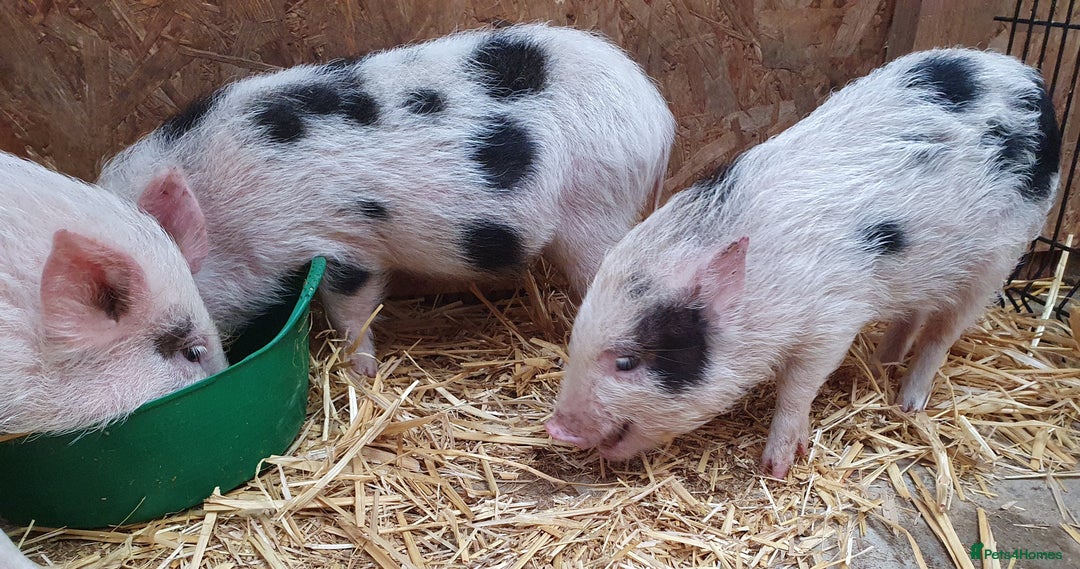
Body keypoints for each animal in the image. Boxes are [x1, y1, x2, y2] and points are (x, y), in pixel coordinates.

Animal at [97, 23, 675, 376]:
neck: (224, 214)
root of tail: (655, 111)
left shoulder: (343, 242)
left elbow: (351, 309)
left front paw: (363, 372)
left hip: (596, 206)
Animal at [546, 48, 1061, 478]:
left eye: (627, 362)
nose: (555, 427)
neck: (765, 283)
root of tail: (1027, 74)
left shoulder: (832, 321)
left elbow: (798, 388)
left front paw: (776, 468)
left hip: (1000, 256)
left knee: (941, 334)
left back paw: (907, 405)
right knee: (913, 313)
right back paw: (879, 362)